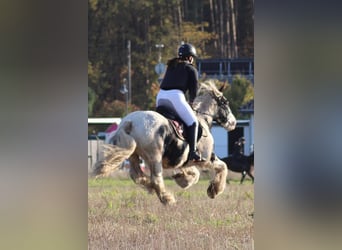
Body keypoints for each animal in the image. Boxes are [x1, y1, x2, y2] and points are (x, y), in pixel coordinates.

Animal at [93, 80, 238, 205]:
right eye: (225, 103)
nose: (233, 123)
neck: (202, 119)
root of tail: (129, 122)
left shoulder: (185, 160)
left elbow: (195, 174)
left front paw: (183, 179)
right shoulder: (206, 159)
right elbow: (223, 166)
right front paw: (214, 190)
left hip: (134, 154)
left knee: (136, 175)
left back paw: (150, 187)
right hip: (154, 157)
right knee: (156, 179)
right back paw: (167, 199)